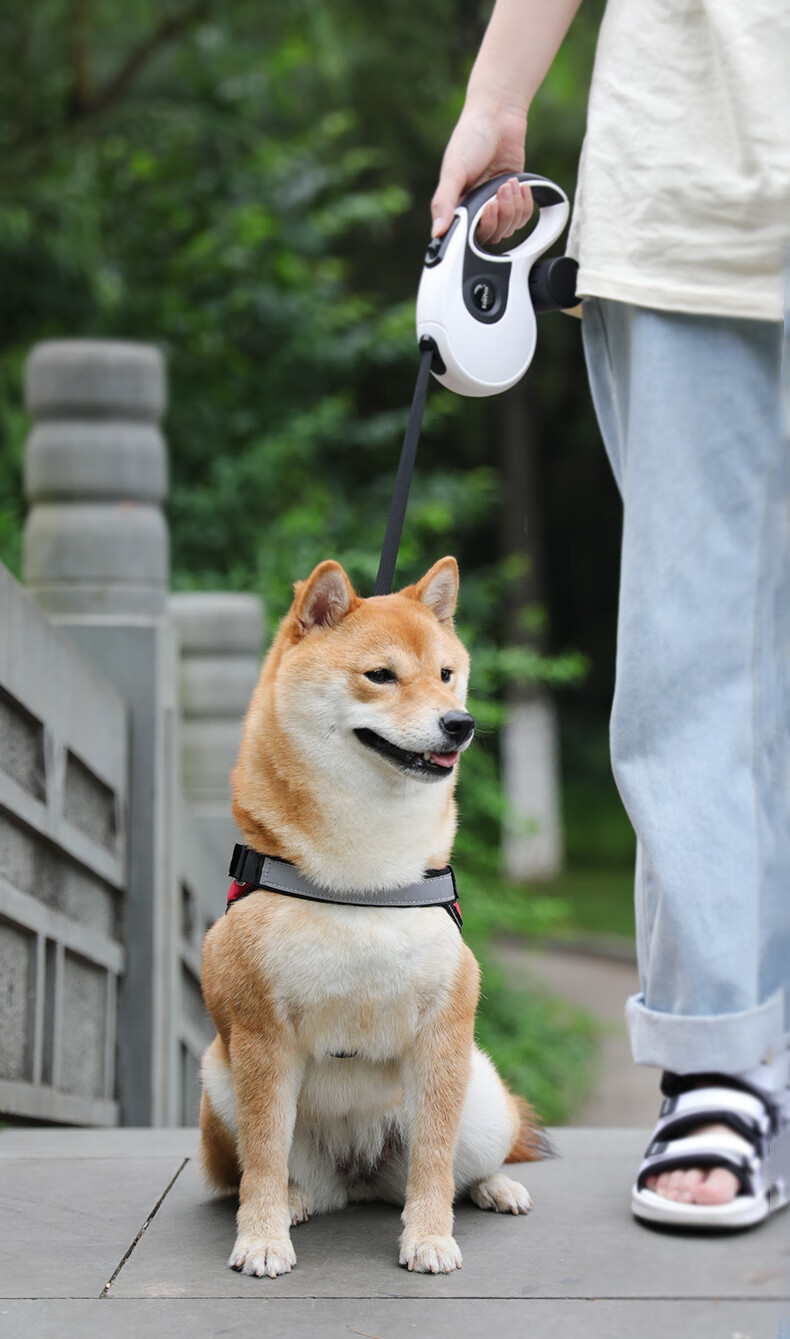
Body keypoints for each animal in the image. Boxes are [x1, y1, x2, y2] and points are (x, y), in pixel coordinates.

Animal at [199, 554, 546, 1274]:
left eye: (446, 674)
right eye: (380, 675)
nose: (460, 722)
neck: (367, 880)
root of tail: (359, 1176)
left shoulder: (444, 1031)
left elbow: (434, 1163)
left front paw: (430, 1236)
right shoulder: (260, 1036)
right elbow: (263, 1160)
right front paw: (262, 1237)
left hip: (481, 1097)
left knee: (462, 1164)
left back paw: (495, 1186)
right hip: (218, 1080)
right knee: (261, 1168)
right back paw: (295, 1200)